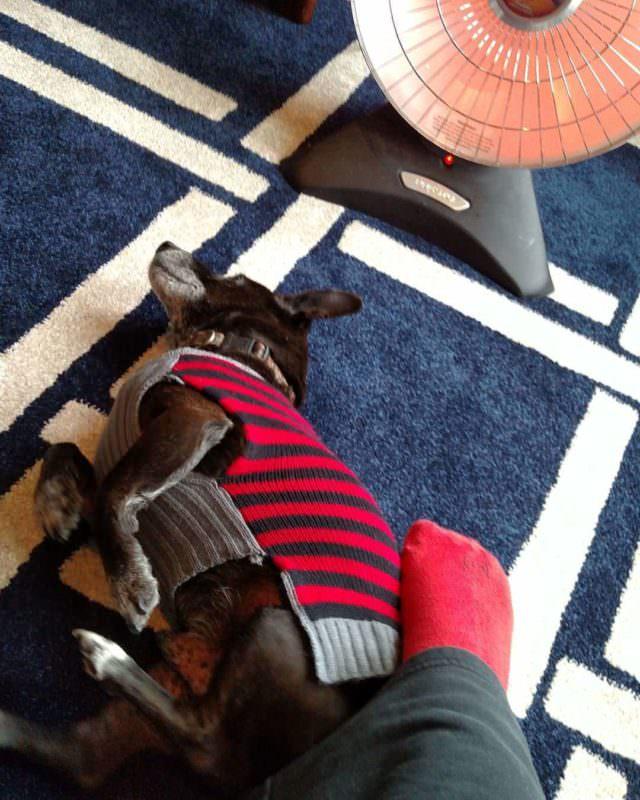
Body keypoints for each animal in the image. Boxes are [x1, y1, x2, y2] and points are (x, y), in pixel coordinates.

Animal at [0, 243, 400, 796]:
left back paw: (108, 657)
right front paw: (57, 502)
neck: (236, 348)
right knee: (84, 758)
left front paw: (129, 583)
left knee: (202, 744)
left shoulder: (198, 421)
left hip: (274, 627)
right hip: (178, 678)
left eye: (236, 276)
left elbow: (113, 491)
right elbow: (68, 454)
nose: (166, 244)